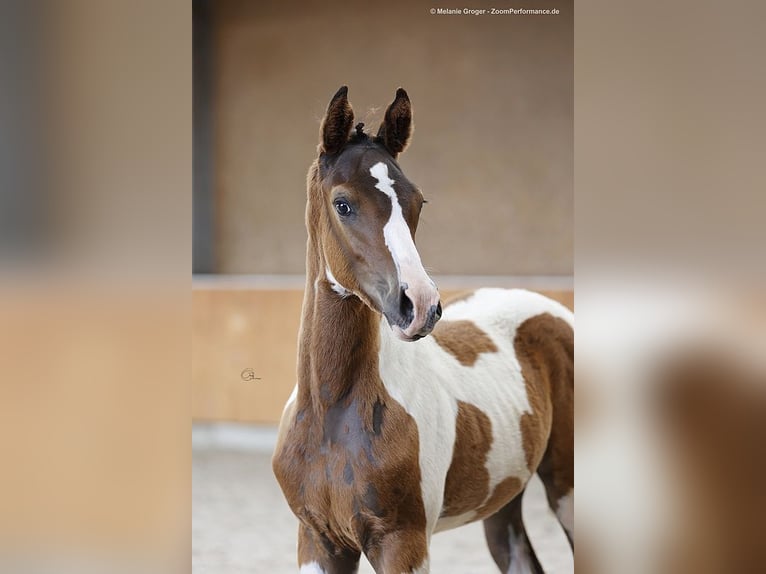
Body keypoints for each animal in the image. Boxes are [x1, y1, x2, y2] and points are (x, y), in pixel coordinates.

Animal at [272, 86, 572, 574]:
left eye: (417, 202)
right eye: (342, 203)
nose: (421, 305)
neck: (332, 416)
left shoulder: (403, 541)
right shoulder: (318, 539)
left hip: (568, 488)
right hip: (503, 502)